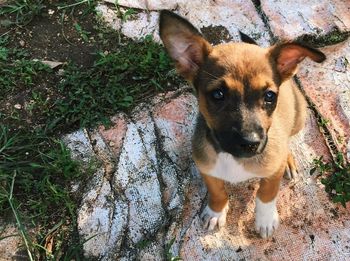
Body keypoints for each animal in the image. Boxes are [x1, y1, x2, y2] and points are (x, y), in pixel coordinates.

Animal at [159, 10, 326, 238]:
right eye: (218, 94)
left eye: (270, 96)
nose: (251, 144)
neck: (232, 158)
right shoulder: (207, 169)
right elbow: (217, 191)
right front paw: (216, 212)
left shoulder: (271, 171)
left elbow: (266, 194)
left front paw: (265, 220)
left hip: (299, 118)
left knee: (289, 142)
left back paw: (288, 161)